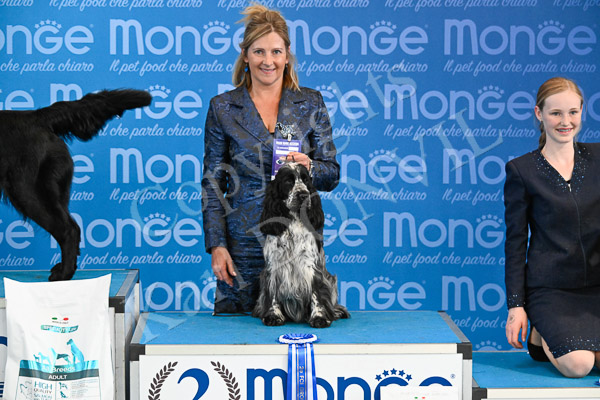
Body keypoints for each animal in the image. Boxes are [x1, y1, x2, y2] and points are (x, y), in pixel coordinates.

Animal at [253, 162, 350, 328]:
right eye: (288, 181)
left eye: (306, 180)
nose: (304, 195)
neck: (294, 220)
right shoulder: (273, 267)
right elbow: (273, 294)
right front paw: (273, 316)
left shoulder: (312, 266)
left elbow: (316, 293)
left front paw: (319, 317)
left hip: (331, 280)